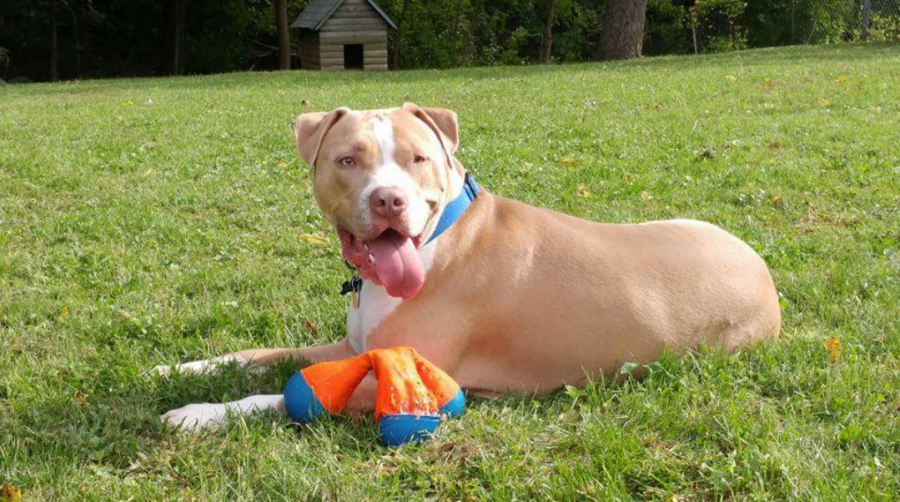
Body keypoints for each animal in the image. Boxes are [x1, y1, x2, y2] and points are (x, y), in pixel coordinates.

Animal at [158, 104, 776, 430]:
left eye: (418, 158)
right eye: (347, 160)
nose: (389, 200)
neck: (439, 237)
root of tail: (763, 272)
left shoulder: (410, 380)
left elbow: (286, 395)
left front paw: (197, 413)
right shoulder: (350, 348)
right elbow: (260, 354)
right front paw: (180, 369)